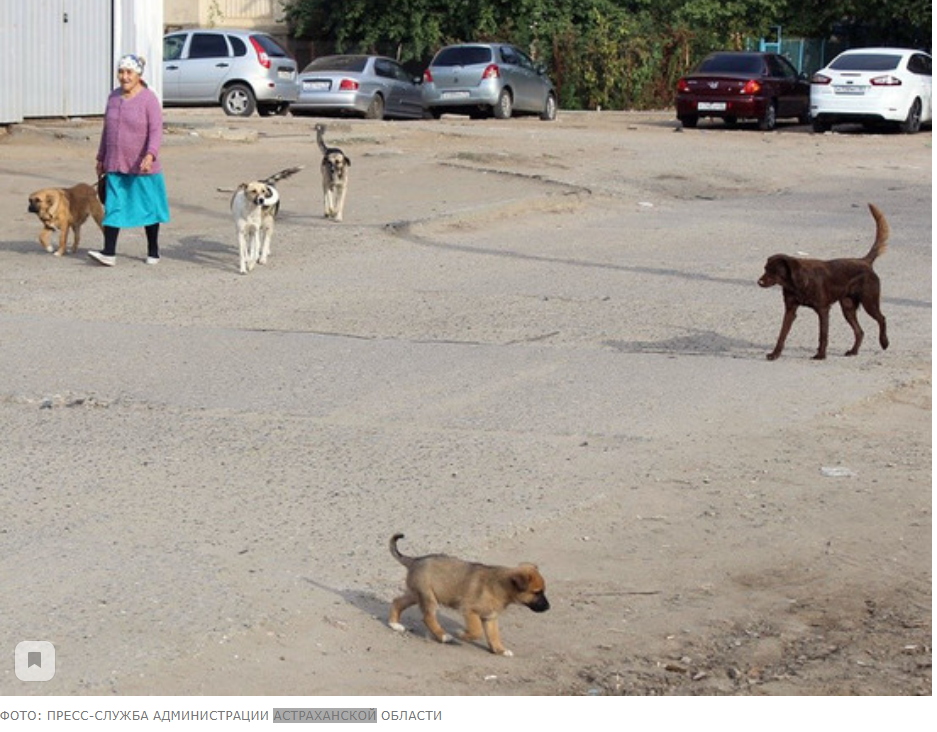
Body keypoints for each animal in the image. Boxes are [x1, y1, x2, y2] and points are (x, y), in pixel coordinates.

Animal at [388, 532, 548, 656]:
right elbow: (476, 631)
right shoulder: (470, 610)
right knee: (427, 617)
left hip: (416, 594)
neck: (501, 585)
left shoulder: (490, 617)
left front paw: (500, 650)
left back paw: (395, 625)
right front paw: (461, 634)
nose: (548, 608)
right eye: (537, 592)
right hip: (428, 598)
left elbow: (494, 636)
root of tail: (414, 561)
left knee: (397, 601)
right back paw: (444, 636)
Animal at [756, 203, 888, 360]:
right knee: (860, 331)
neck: (797, 283)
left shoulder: (823, 310)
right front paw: (775, 354)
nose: (759, 282)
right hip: (848, 307)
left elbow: (823, 334)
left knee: (882, 318)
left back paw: (884, 342)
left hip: (869, 302)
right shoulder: (790, 310)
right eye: (765, 269)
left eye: (774, 271)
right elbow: (782, 334)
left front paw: (821, 354)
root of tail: (865, 262)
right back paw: (853, 351)